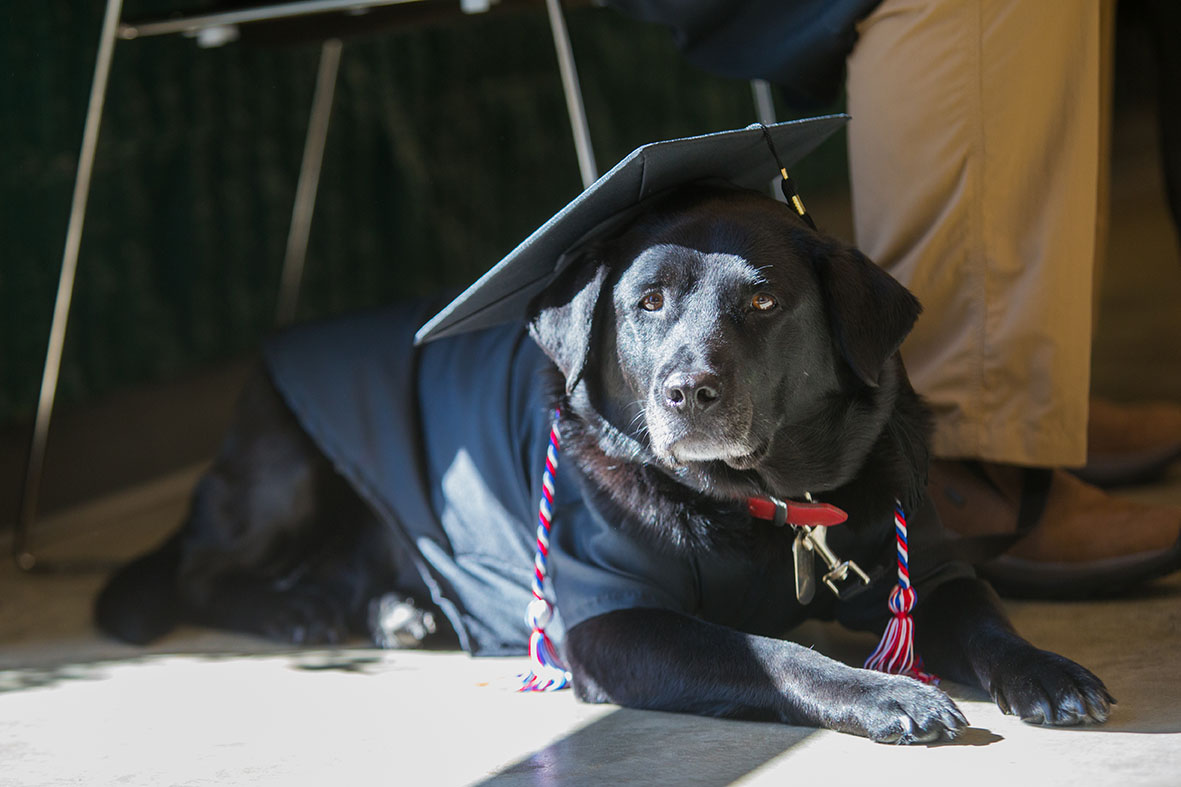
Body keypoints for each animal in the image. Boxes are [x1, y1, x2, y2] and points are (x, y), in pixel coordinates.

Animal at [96, 184, 1110, 742]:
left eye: (764, 302)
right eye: (647, 302)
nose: (686, 390)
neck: (766, 504)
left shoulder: (924, 568)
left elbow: (985, 619)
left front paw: (1047, 671)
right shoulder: (610, 620)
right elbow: (773, 652)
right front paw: (886, 693)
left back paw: (391, 608)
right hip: (286, 478)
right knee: (198, 569)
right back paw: (299, 611)